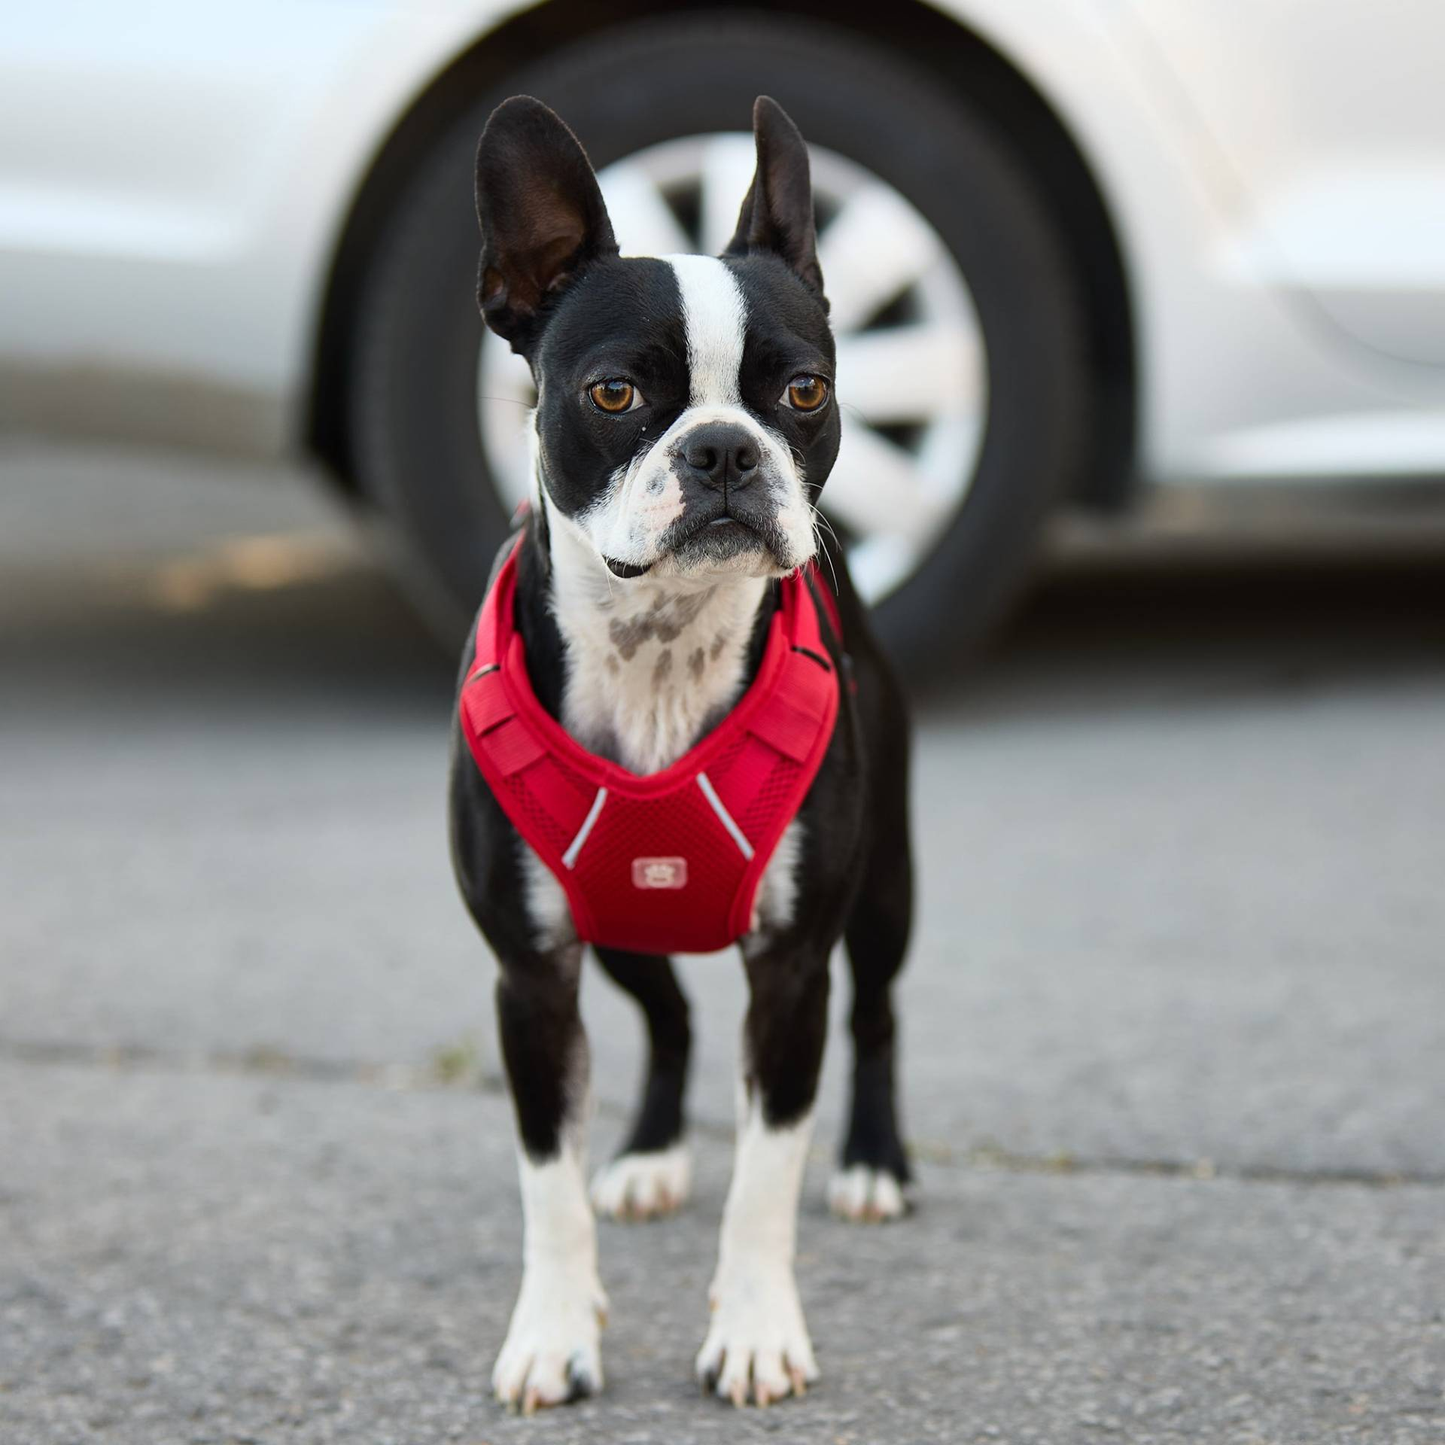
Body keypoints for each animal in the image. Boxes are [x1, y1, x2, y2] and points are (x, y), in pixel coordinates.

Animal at [445, 93, 907, 1410]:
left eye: (802, 389)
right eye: (611, 393)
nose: (722, 449)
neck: (655, 654)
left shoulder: (791, 969)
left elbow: (763, 1176)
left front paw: (753, 1329)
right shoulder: (531, 972)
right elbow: (545, 1180)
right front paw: (552, 1334)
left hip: (883, 892)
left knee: (878, 1012)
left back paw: (873, 1160)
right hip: (612, 928)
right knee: (664, 1019)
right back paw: (648, 1152)